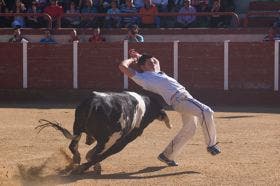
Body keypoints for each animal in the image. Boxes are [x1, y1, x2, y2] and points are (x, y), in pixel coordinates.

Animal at [35, 91, 171, 174]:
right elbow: (104, 154)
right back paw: (85, 167)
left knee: (73, 146)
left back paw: (77, 160)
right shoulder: (123, 141)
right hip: (109, 139)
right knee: (98, 153)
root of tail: (95, 102)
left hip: (78, 128)